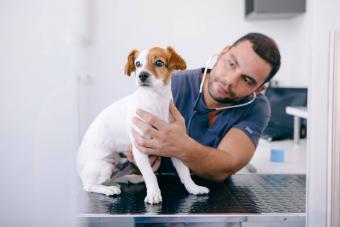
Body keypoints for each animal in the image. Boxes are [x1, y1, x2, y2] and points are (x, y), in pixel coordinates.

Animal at [76, 46, 209, 204]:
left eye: (159, 62)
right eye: (138, 64)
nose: (142, 75)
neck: (155, 102)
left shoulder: (175, 146)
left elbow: (184, 172)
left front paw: (193, 188)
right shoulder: (139, 149)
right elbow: (150, 175)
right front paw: (153, 194)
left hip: (126, 163)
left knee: (114, 178)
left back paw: (130, 178)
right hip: (103, 166)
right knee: (89, 186)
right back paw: (109, 189)